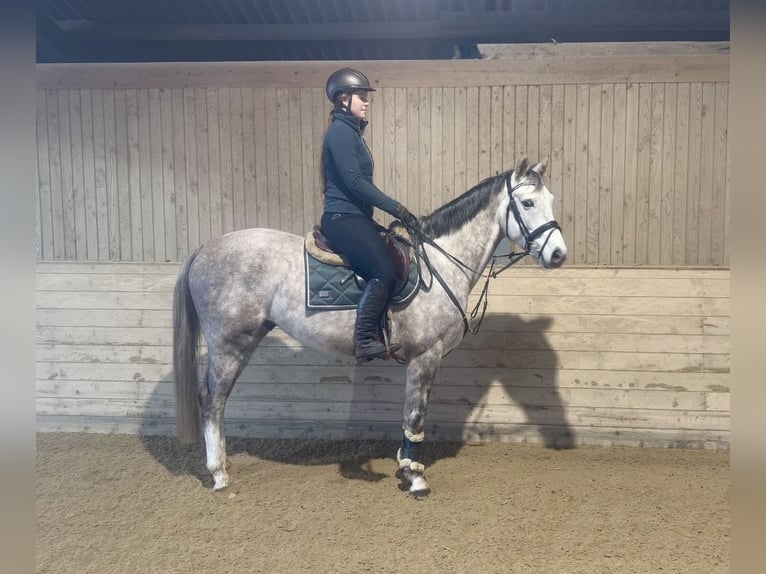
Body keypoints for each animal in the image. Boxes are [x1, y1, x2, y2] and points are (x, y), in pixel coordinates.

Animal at [173, 156, 567, 496]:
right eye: (527, 203)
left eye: (550, 199)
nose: (558, 255)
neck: (441, 260)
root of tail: (204, 248)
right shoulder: (425, 356)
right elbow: (415, 415)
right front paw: (415, 476)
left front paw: (407, 466)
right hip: (229, 344)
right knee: (213, 401)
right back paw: (219, 475)